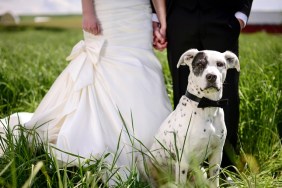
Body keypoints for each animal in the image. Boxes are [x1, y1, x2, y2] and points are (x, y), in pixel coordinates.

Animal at [142, 49, 239, 187]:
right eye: (199, 64)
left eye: (220, 64)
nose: (211, 76)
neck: (207, 105)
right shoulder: (183, 158)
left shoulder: (216, 154)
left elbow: (214, 180)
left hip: (201, 172)